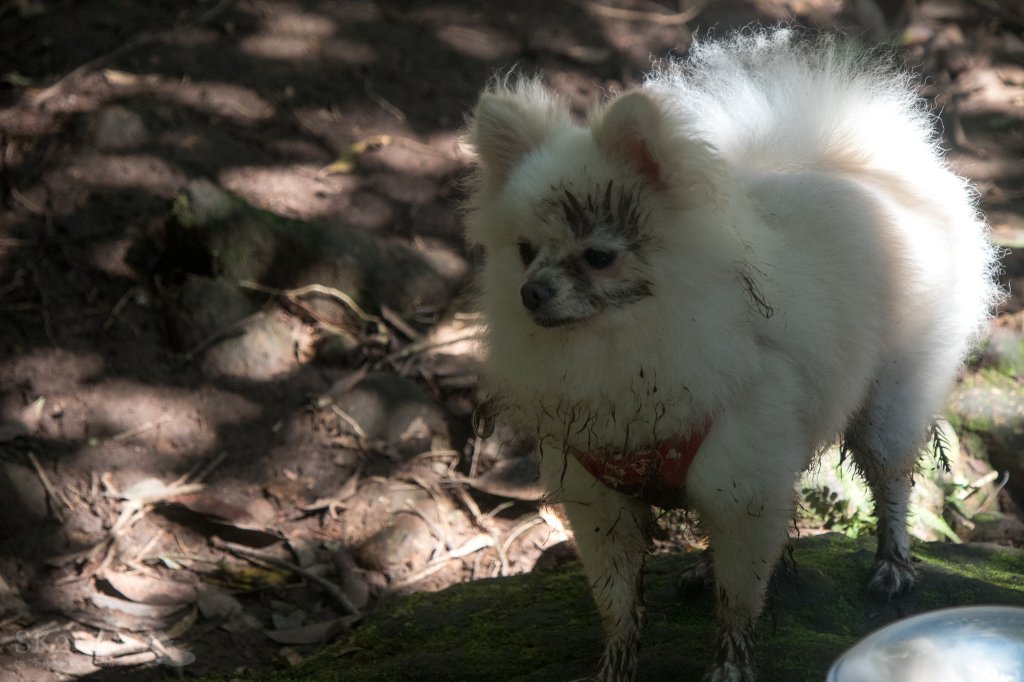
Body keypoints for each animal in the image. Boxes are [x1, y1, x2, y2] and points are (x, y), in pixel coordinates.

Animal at [462, 29, 999, 679]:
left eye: (599, 257)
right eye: (523, 250)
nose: (531, 292)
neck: (623, 353)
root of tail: (862, 166)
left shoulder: (743, 488)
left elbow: (739, 599)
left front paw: (730, 666)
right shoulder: (599, 498)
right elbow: (617, 601)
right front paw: (616, 665)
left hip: (889, 401)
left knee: (892, 478)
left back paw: (893, 564)